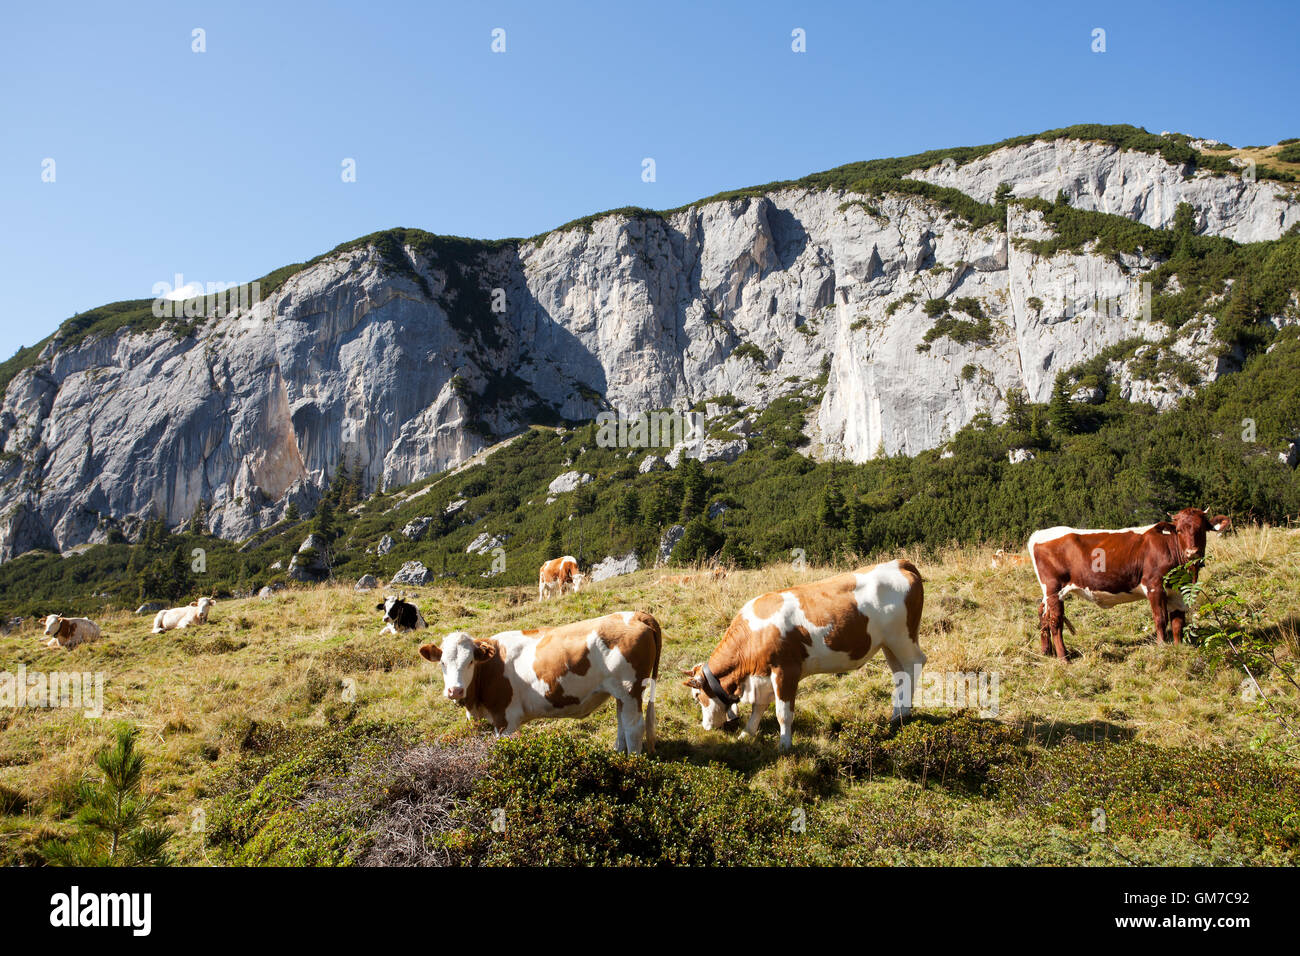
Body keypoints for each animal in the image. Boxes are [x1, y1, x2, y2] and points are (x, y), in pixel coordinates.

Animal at [418, 610, 662, 753]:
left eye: (470, 662)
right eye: (442, 663)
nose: (455, 690)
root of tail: (636, 614)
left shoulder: (505, 719)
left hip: (630, 689)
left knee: (633, 728)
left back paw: (631, 762)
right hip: (621, 693)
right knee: (622, 723)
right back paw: (617, 754)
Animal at [684, 559, 925, 751]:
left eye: (696, 697)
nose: (706, 727)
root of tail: (898, 563)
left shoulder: (786, 670)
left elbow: (783, 713)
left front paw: (784, 745)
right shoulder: (762, 676)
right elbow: (758, 708)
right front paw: (746, 734)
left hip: (902, 638)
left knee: (915, 664)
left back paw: (903, 714)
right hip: (888, 644)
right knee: (900, 674)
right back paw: (897, 715)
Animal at [1028, 508, 1231, 660]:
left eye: (1201, 529)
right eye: (1179, 530)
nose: (1192, 552)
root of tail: (1039, 533)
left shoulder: (1179, 591)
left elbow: (1177, 622)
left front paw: (1178, 648)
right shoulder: (1154, 586)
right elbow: (1160, 619)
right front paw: (1162, 647)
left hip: (1048, 592)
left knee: (1043, 614)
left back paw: (1047, 652)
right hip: (1054, 589)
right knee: (1055, 621)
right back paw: (1064, 658)